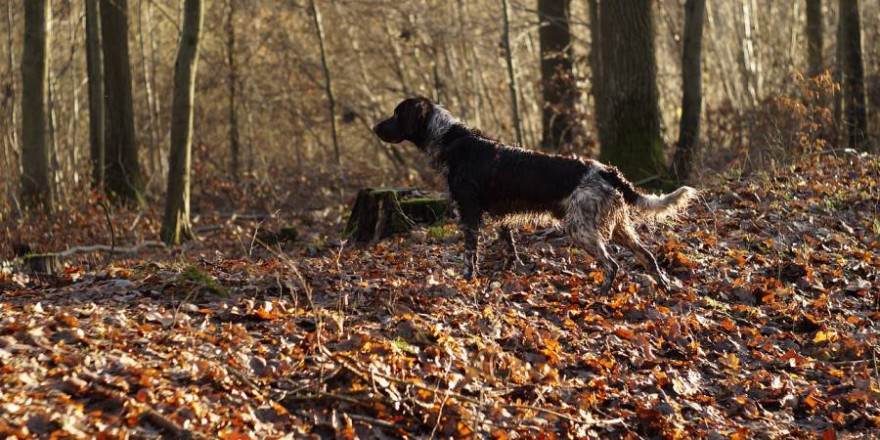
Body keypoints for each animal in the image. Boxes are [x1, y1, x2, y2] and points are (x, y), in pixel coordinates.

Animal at [372, 98, 696, 294]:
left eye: (397, 113)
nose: (374, 127)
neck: (451, 140)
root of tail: (606, 170)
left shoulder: (470, 210)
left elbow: (470, 253)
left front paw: (468, 279)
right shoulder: (500, 215)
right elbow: (510, 246)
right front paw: (509, 270)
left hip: (580, 229)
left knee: (612, 264)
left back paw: (602, 293)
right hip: (619, 228)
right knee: (648, 256)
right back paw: (665, 288)